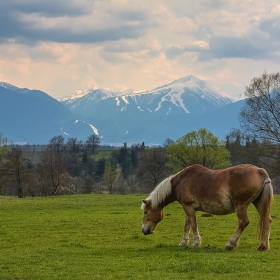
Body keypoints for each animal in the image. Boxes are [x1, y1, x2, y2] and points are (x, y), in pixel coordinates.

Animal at [141, 163, 272, 250]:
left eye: (146, 212)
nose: (144, 230)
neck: (180, 181)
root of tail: (258, 170)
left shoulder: (188, 207)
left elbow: (193, 225)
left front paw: (196, 243)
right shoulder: (188, 208)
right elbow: (187, 225)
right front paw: (183, 243)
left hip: (240, 206)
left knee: (243, 222)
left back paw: (230, 244)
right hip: (258, 203)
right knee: (267, 220)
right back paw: (263, 246)